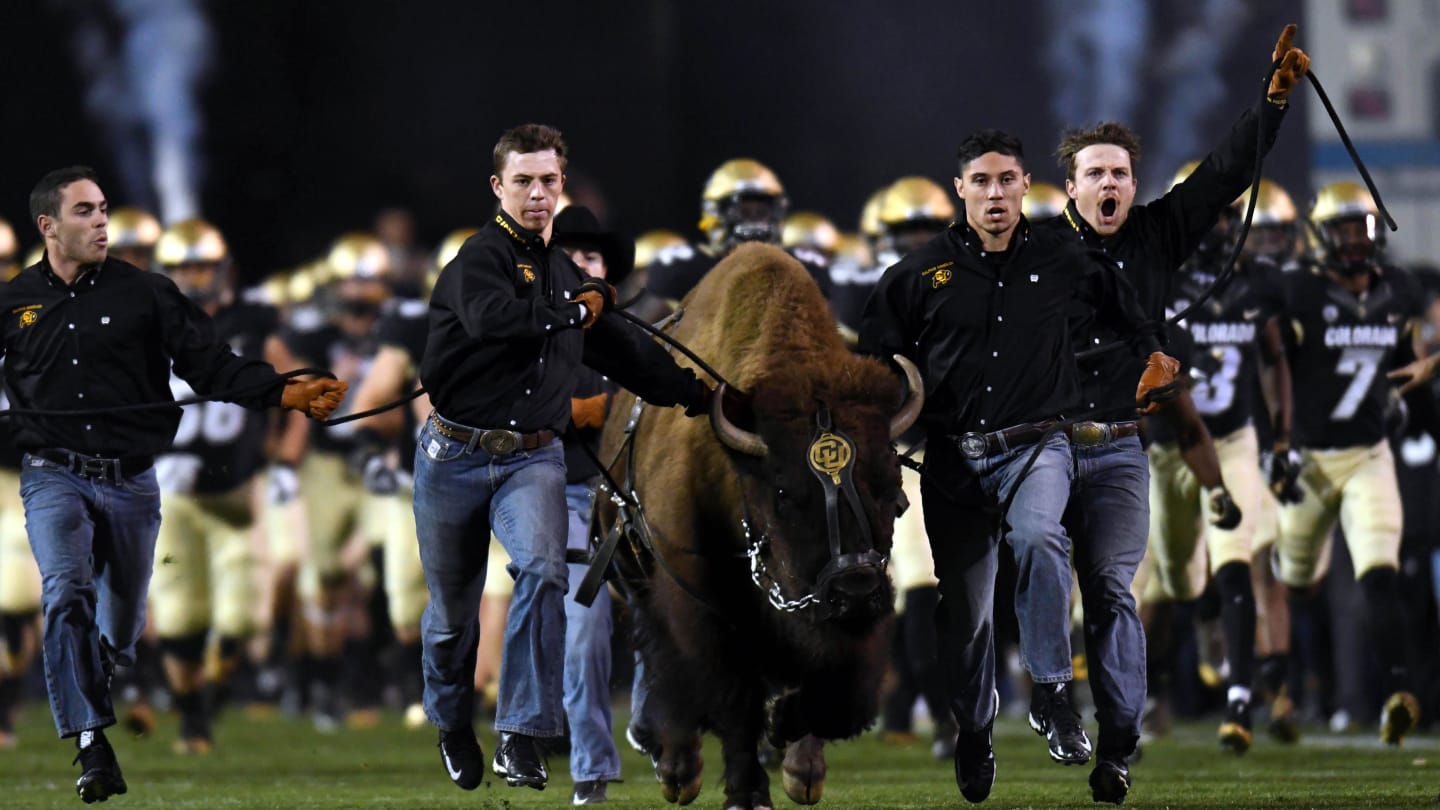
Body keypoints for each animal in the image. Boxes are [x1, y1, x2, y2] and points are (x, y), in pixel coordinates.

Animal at [596, 240, 921, 807]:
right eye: (784, 494)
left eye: (892, 489)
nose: (854, 590)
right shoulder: (704, 609)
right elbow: (732, 700)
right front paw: (747, 791)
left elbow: (834, 693)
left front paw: (796, 758)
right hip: (637, 583)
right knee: (663, 666)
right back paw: (678, 771)